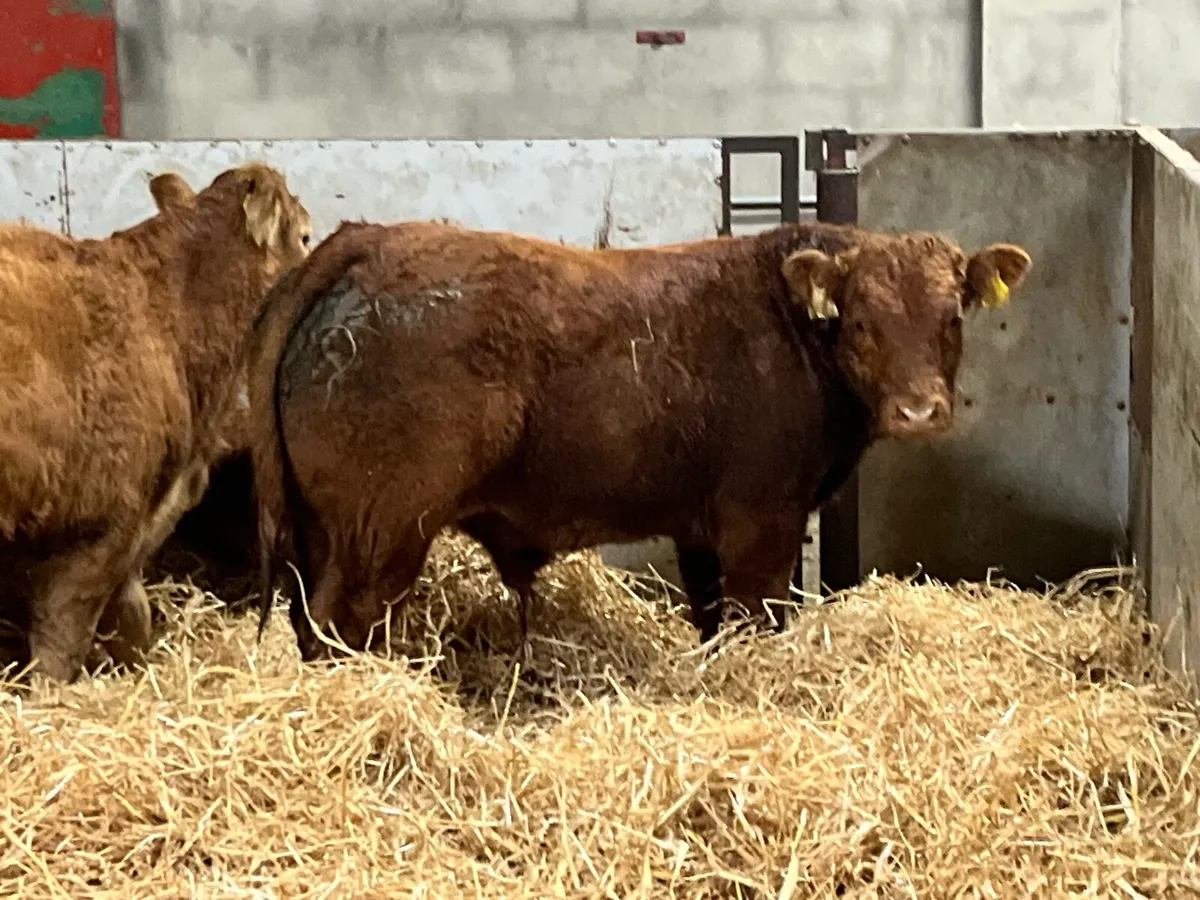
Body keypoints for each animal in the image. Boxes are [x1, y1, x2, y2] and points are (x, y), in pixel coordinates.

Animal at [248, 219, 1032, 662]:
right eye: (862, 322)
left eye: (951, 319)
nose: (918, 411)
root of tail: (369, 243)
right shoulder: (762, 524)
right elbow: (757, 618)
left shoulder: (703, 530)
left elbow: (715, 620)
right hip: (379, 532)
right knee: (340, 626)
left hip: (324, 531)